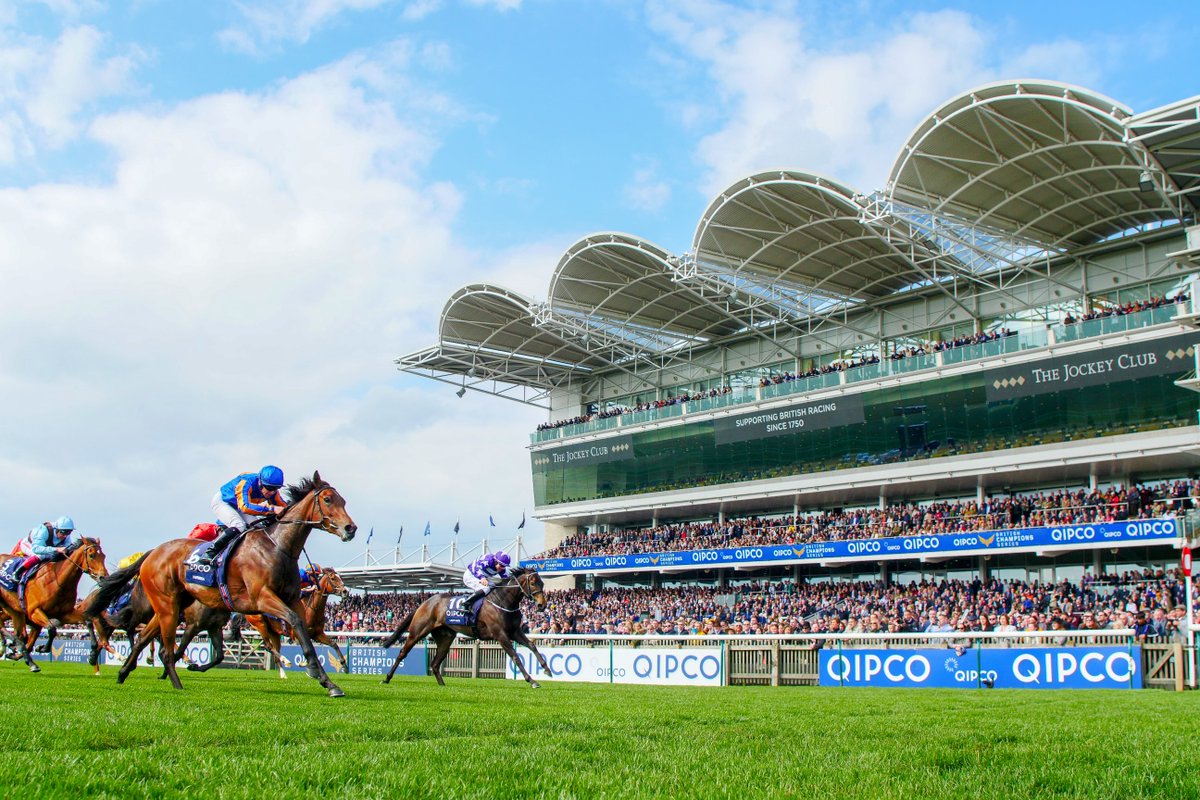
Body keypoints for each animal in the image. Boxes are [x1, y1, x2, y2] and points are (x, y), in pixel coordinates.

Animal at [0, 537, 108, 676]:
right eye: (91, 555)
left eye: (103, 556)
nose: (104, 578)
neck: (57, 579)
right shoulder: (34, 611)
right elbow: (52, 629)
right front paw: (42, 648)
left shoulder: (65, 614)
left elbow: (88, 622)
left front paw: (93, 655)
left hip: (15, 612)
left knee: (22, 636)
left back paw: (20, 655)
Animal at [87, 472, 352, 695]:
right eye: (327, 499)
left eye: (343, 501)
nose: (351, 528)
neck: (278, 547)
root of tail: (154, 551)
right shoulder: (262, 598)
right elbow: (297, 625)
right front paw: (316, 672)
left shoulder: (292, 600)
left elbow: (304, 632)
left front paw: (328, 680)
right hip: (168, 605)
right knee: (166, 648)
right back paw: (176, 683)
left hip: (170, 605)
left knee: (144, 638)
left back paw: (123, 673)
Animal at [381, 566, 554, 690]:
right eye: (533, 583)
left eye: (543, 583)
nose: (542, 605)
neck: (502, 601)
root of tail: (424, 603)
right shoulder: (500, 634)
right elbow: (515, 656)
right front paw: (532, 680)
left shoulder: (515, 632)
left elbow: (532, 645)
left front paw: (547, 669)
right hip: (417, 632)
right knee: (402, 653)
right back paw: (386, 678)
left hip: (446, 637)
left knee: (435, 663)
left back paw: (442, 685)